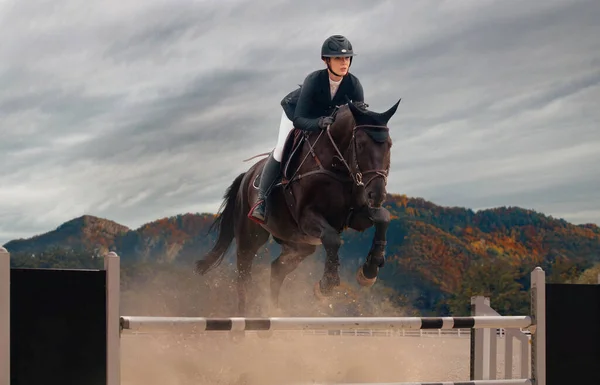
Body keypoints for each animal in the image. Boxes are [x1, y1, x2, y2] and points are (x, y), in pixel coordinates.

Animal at [197, 97, 400, 314]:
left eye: (389, 145)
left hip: (299, 244)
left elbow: (383, 218)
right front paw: (325, 286)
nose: (377, 194)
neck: (337, 167)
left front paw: (369, 272)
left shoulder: (356, 215)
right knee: (244, 276)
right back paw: (246, 316)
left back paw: (275, 312)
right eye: (360, 145)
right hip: (250, 237)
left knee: (277, 269)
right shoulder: (307, 218)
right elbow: (332, 239)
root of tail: (246, 176)